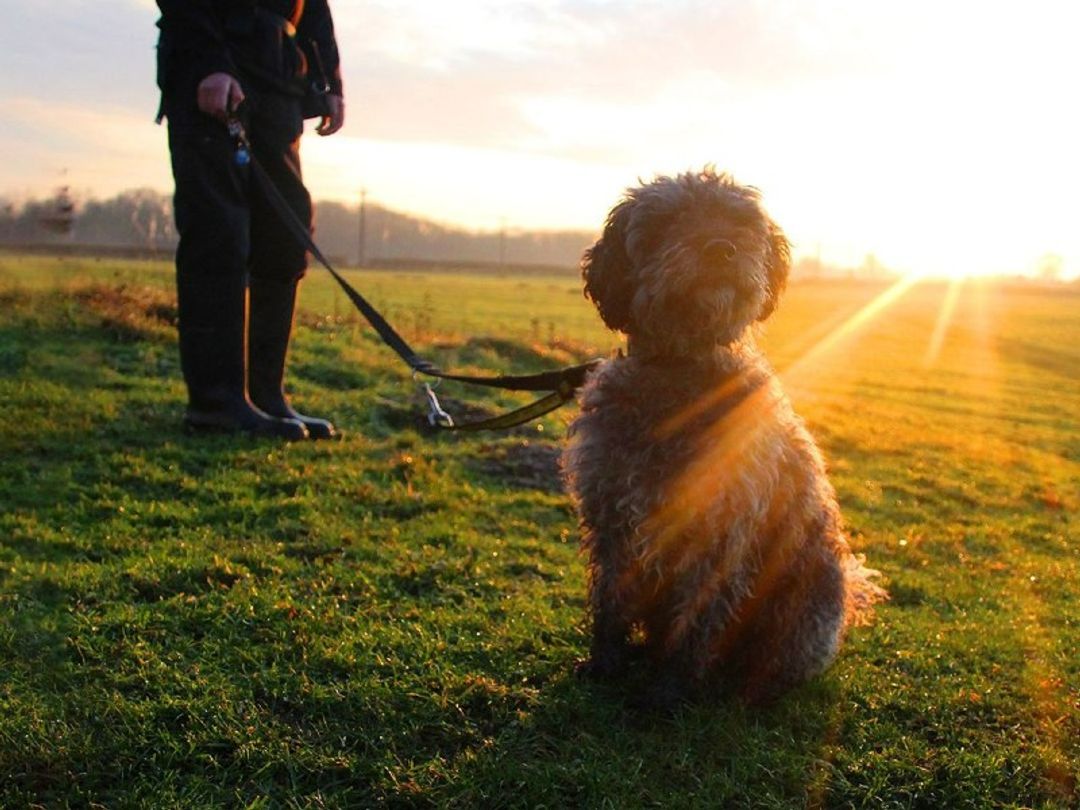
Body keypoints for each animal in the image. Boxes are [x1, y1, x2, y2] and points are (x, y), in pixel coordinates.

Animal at [561, 171, 881, 708]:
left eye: (740, 220)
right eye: (668, 220)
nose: (720, 249)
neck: (683, 375)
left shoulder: (722, 530)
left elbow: (695, 620)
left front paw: (669, 691)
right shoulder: (614, 519)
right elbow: (610, 599)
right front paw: (605, 664)